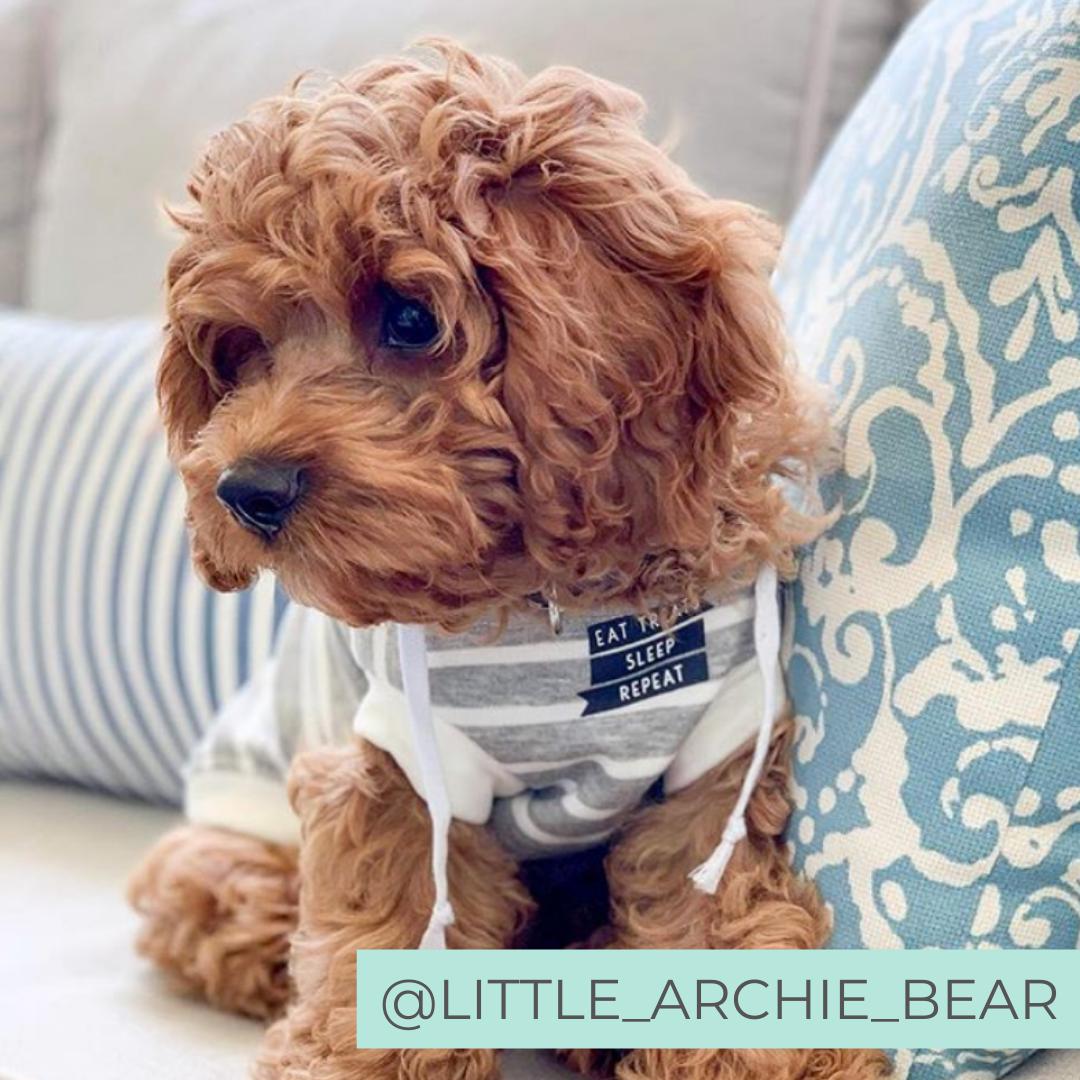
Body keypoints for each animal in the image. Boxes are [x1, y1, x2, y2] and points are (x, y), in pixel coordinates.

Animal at [128, 39, 885, 1080]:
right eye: (239, 354)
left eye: (411, 319)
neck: (548, 600)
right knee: (215, 900)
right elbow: (394, 921)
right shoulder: (405, 763)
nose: (247, 489)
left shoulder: (717, 756)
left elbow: (709, 906)